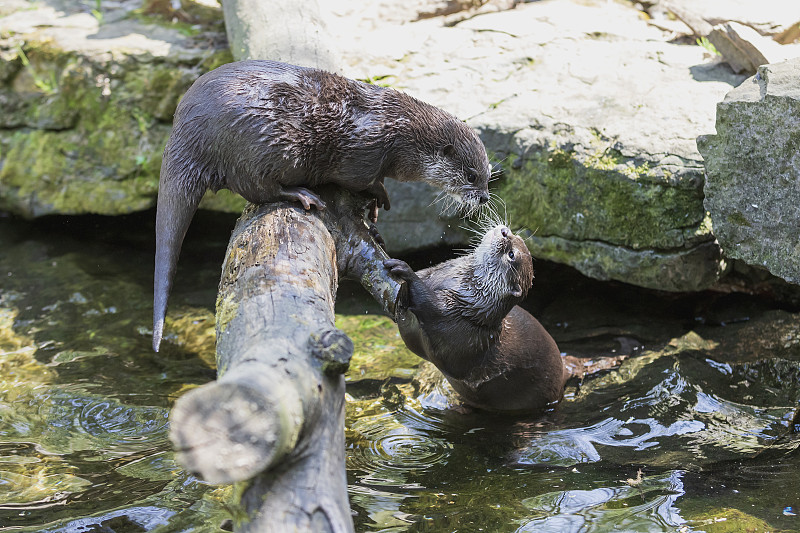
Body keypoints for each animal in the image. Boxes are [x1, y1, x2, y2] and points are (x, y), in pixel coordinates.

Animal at [149, 60, 488, 352]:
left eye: (487, 175)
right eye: (471, 176)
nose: (484, 197)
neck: (397, 133)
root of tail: (187, 133)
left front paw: (375, 217)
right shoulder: (362, 154)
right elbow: (359, 180)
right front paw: (379, 194)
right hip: (261, 146)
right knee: (256, 187)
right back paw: (302, 195)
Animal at [382, 224, 564, 412]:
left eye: (511, 254)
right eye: (516, 236)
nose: (505, 231)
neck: (470, 308)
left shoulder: (455, 324)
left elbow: (431, 306)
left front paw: (407, 272)